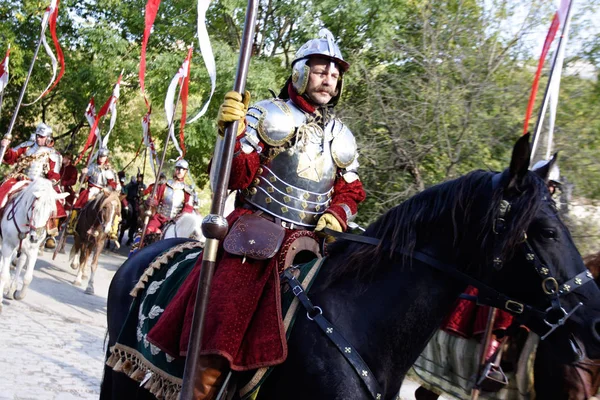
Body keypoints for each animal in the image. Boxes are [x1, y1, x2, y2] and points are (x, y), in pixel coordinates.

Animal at [0, 178, 68, 310]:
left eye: (51, 212)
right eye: (34, 208)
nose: (35, 237)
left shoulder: (32, 250)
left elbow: (28, 278)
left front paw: (19, 294)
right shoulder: (7, 246)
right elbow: (3, 274)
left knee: (20, 262)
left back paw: (11, 290)